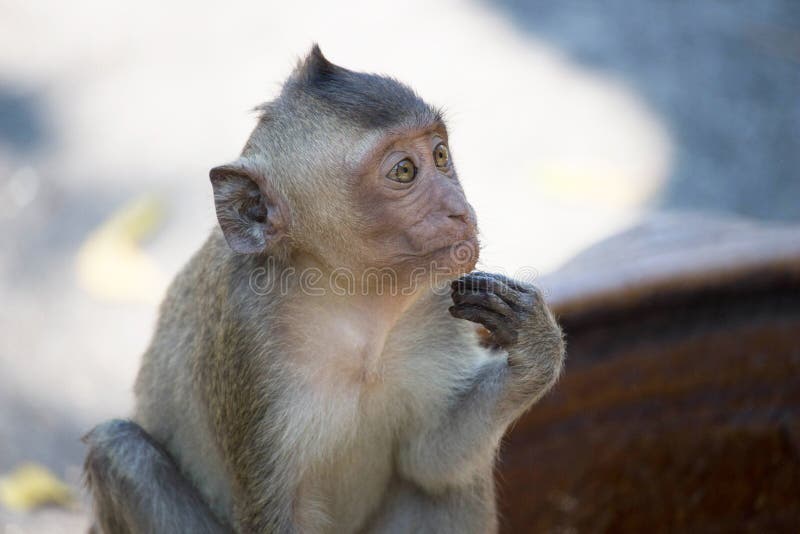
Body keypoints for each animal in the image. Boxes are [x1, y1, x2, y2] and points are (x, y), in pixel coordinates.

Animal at [83, 44, 564, 532]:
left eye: (441, 154)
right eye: (404, 171)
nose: (459, 210)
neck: (353, 303)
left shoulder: (435, 301)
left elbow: (428, 461)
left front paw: (534, 347)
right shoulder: (248, 342)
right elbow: (276, 513)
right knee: (119, 449)